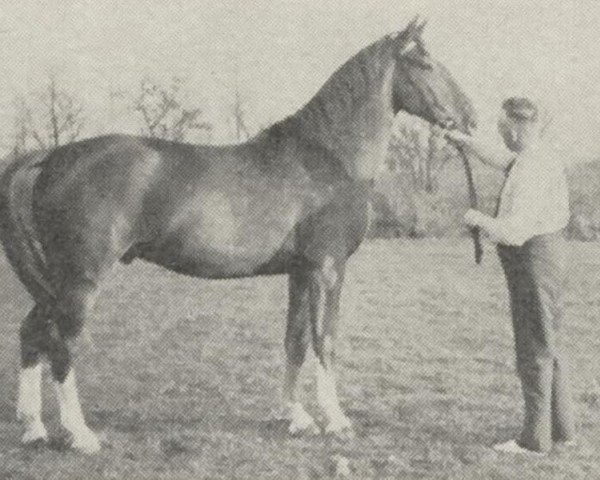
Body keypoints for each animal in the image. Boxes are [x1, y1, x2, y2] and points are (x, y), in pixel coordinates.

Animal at [1, 17, 478, 454]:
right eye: (426, 62)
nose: (471, 118)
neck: (328, 158)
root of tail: (52, 157)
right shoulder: (328, 269)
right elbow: (325, 341)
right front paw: (336, 420)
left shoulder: (301, 272)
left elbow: (295, 340)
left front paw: (294, 416)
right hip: (81, 279)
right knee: (61, 343)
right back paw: (79, 434)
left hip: (55, 281)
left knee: (32, 333)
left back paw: (34, 427)